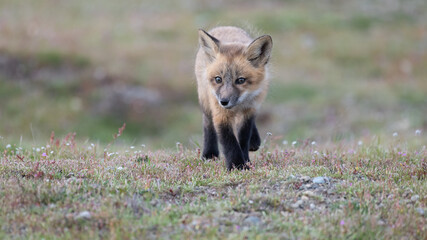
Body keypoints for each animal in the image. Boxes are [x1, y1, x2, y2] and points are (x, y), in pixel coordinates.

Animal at [196, 26, 272, 170]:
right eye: (218, 79)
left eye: (240, 80)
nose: (224, 102)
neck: (239, 104)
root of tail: (225, 27)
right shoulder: (220, 114)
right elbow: (229, 142)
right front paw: (237, 165)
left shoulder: (249, 110)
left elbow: (243, 139)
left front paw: (245, 161)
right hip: (205, 100)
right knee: (208, 125)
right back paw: (209, 154)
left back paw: (254, 141)